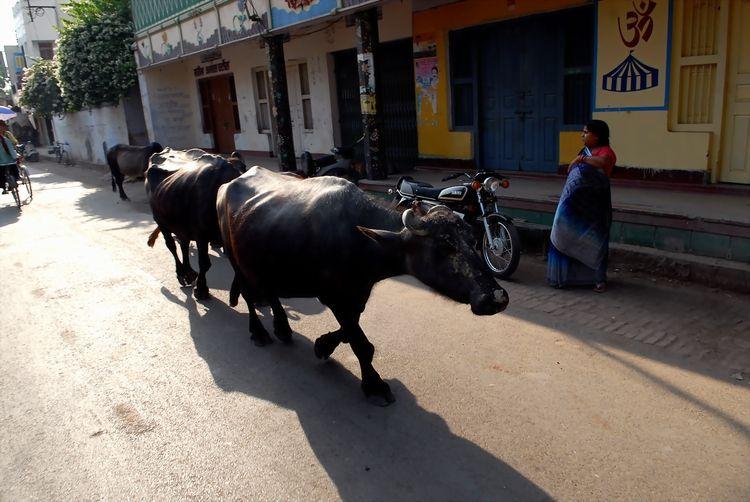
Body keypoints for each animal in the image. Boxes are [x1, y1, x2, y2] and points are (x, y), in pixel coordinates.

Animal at [144, 147, 244, 300]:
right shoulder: (201, 235)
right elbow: (204, 263)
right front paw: (201, 289)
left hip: (180, 225)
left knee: (183, 244)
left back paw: (189, 273)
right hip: (161, 221)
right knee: (172, 246)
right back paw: (181, 274)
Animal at [217, 167, 512, 406]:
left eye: (472, 241)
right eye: (445, 245)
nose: (496, 296)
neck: (360, 240)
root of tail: (226, 186)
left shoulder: (357, 296)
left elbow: (350, 333)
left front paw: (323, 345)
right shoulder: (334, 298)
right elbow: (362, 344)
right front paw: (374, 385)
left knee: (271, 294)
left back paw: (282, 328)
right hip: (235, 260)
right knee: (249, 295)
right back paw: (259, 332)